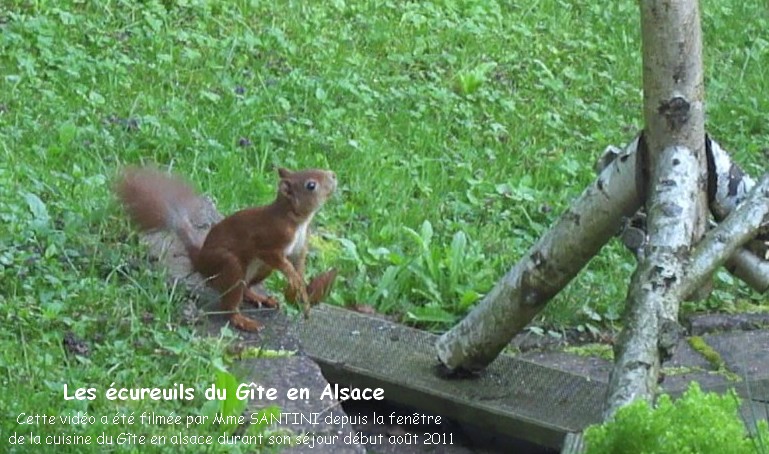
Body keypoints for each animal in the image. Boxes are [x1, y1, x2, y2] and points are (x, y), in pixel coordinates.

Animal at [116, 165, 336, 332]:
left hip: (261, 270)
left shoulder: (299, 248)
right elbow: (279, 259)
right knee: (229, 302)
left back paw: (258, 297)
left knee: (244, 288)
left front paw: (301, 287)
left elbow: (298, 264)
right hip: (229, 265)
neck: (296, 220)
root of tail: (199, 261)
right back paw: (242, 320)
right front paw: (294, 279)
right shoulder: (269, 241)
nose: (333, 175)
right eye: (311, 185)